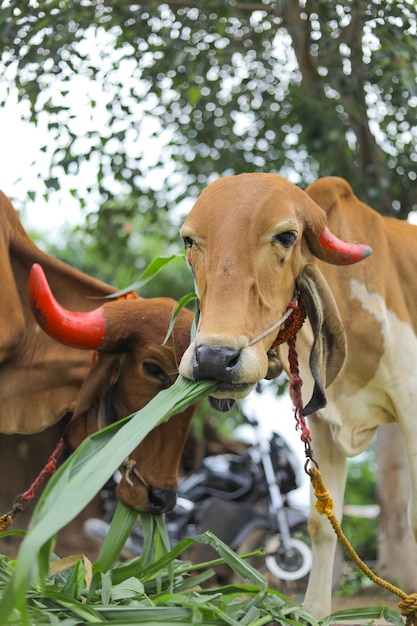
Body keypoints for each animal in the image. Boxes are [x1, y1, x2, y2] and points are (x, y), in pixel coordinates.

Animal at [178, 172, 386, 616]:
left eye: (287, 236)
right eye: (189, 241)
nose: (214, 359)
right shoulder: (323, 424)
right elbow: (322, 523)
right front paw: (313, 612)